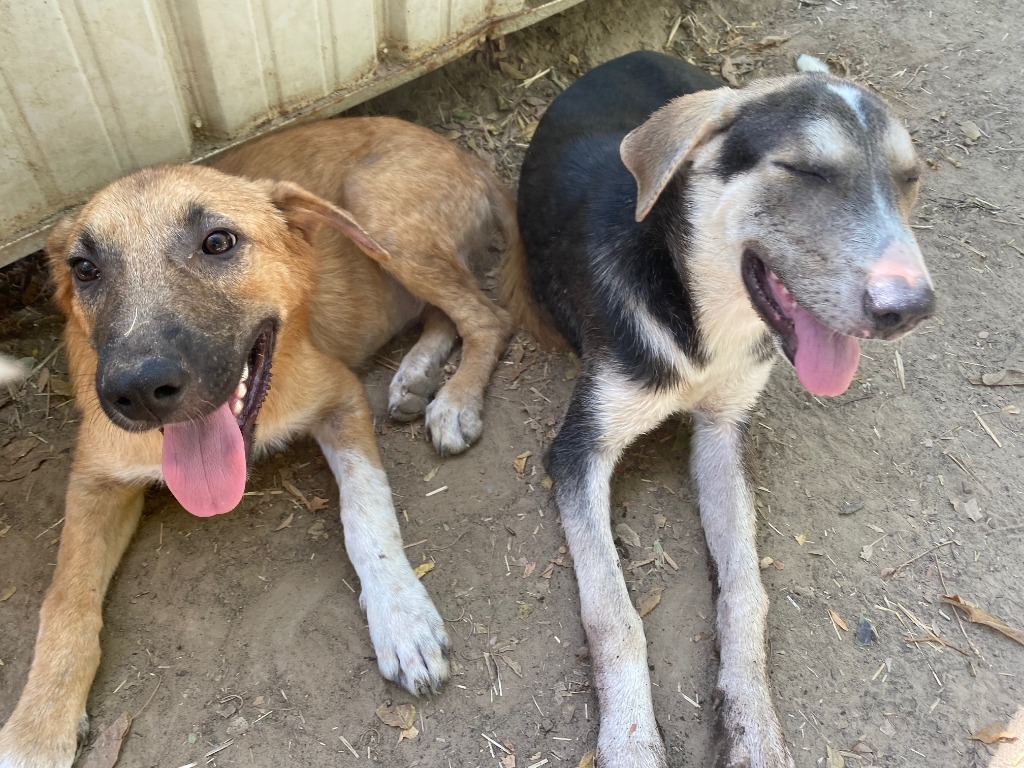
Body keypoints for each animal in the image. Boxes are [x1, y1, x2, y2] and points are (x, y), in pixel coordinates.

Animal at [0, 115, 512, 768]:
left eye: (219, 242)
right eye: (85, 269)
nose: (137, 389)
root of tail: (461, 152)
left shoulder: (341, 397)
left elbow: (366, 512)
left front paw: (402, 614)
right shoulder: (95, 478)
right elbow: (64, 599)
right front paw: (38, 726)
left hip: (381, 214)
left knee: (488, 317)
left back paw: (455, 398)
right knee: (447, 314)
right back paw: (417, 375)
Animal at [503, 52, 937, 768]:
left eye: (909, 180)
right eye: (805, 171)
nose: (911, 309)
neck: (705, 319)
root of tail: (629, 54)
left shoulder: (721, 433)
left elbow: (745, 594)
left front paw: (754, 728)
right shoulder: (577, 452)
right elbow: (613, 614)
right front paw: (632, 744)